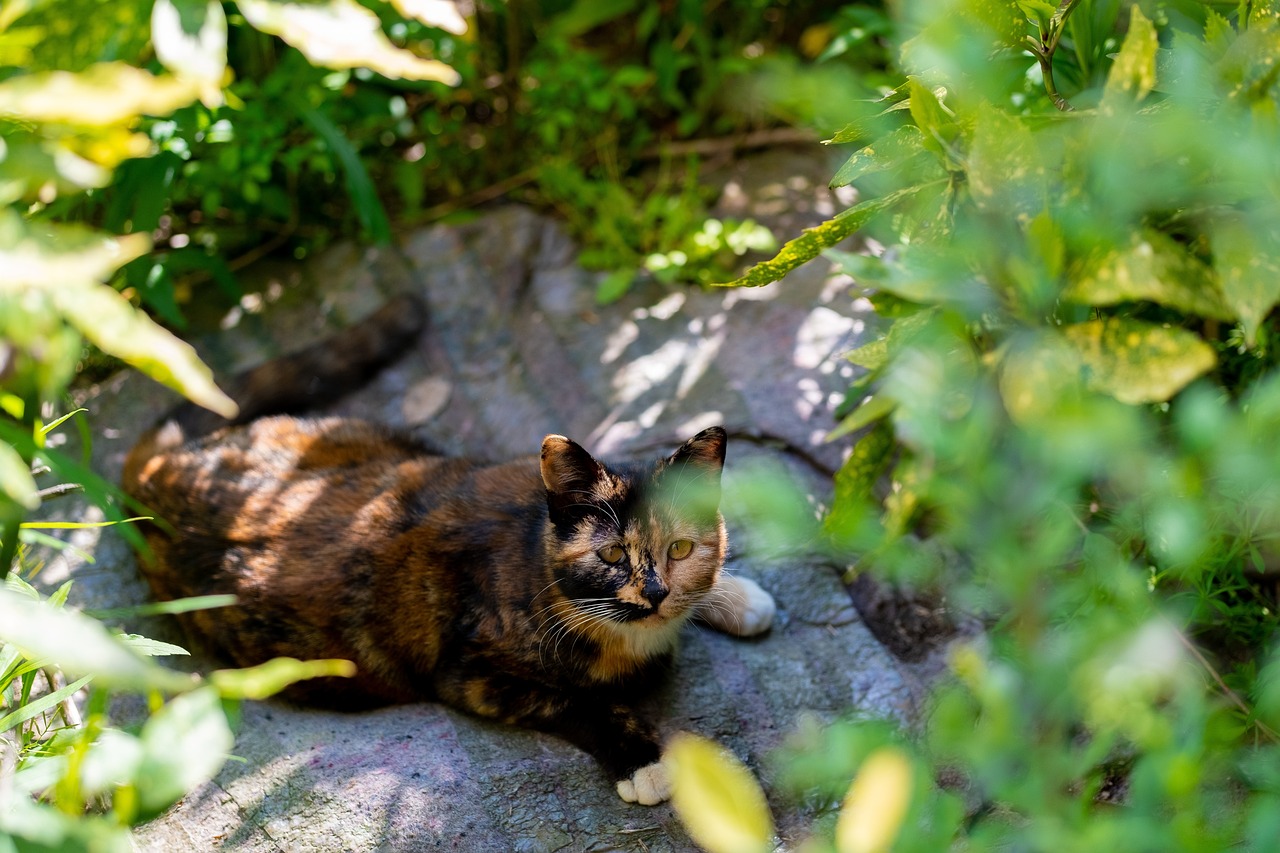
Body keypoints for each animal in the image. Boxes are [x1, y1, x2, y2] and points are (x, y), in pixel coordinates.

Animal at [124, 294, 773, 804]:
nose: (656, 592)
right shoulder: (471, 676)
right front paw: (645, 762)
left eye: (680, 548)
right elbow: (579, 703)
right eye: (611, 556)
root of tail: (154, 470)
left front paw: (736, 597)